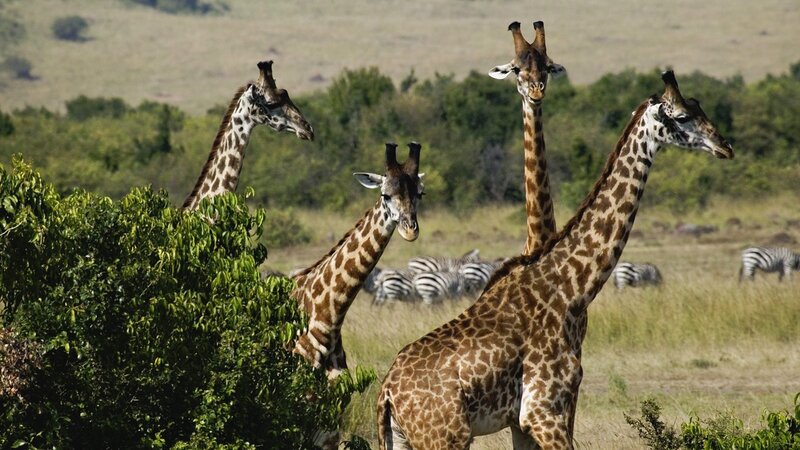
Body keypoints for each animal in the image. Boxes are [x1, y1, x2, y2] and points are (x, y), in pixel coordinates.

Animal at [377, 71, 733, 450]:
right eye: (681, 116)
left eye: (699, 106)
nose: (725, 146)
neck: (571, 288)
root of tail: (386, 394)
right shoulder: (544, 410)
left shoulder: (524, 421)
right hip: (447, 437)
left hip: (403, 439)